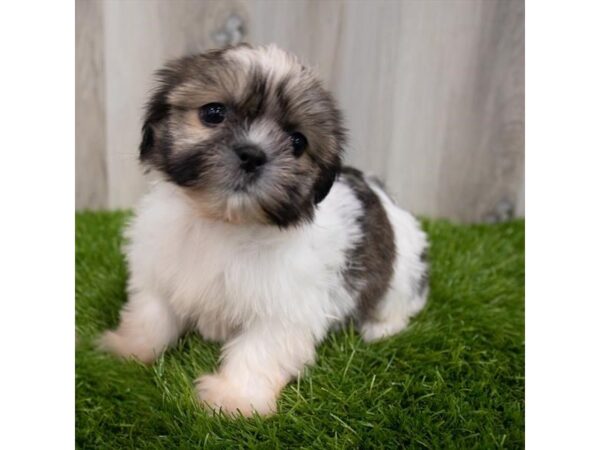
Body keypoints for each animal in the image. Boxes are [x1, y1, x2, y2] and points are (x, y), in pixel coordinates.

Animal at [99, 44, 426, 416]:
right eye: (213, 113)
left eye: (298, 142)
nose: (253, 154)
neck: (223, 223)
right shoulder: (159, 268)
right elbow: (150, 313)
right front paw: (128, 348)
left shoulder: (285, 307)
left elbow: (259, 350)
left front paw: (234, 398)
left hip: (402, 279)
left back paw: (378, 328)